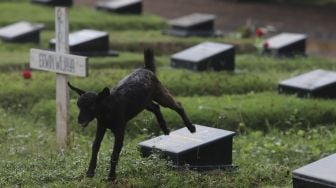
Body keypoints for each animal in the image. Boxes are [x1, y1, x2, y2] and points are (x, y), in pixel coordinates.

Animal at [67, 49, 194, 181]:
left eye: (91, 107)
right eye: (78, 105)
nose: (80, 121)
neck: (108, 109)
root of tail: (146, 68)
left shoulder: (120, 132)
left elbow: (114, 154)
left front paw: (111, 176)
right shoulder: (101, 127)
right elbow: (95, 147)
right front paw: (90, 172)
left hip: (160, 94)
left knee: (177, 105)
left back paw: (191, 127)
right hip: (144, 102)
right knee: (156, 107)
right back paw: (165, 128)